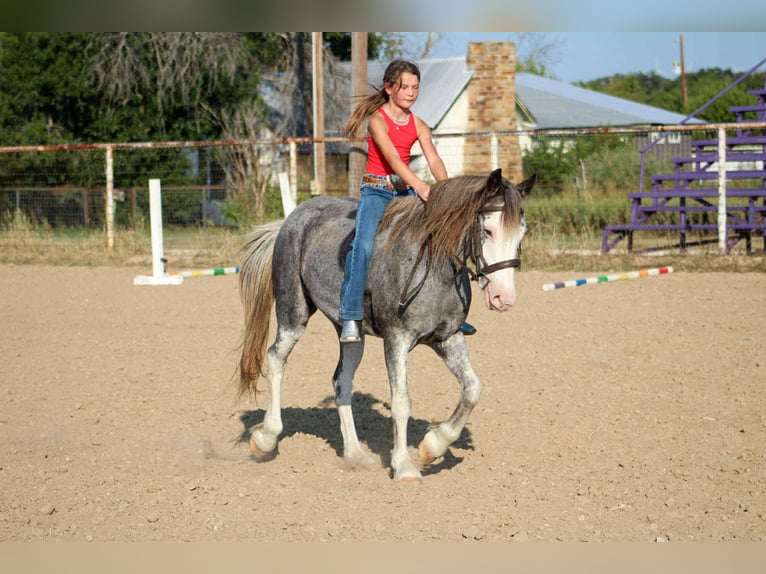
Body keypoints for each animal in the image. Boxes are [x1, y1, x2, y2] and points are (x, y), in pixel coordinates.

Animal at [238, 168, 535, 482]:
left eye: (522, 233)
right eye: (488, 231)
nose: (504, 298)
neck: (433, 266)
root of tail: (292, 218)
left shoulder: (448, 337)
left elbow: (473, 389)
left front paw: (434, 445)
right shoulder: (397, 339)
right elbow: (401, 402)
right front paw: (404, 466)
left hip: (351, 335)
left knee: (341, 380)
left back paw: (356, 454)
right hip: (293, 314)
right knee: (275, 358)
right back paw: (265, 438)